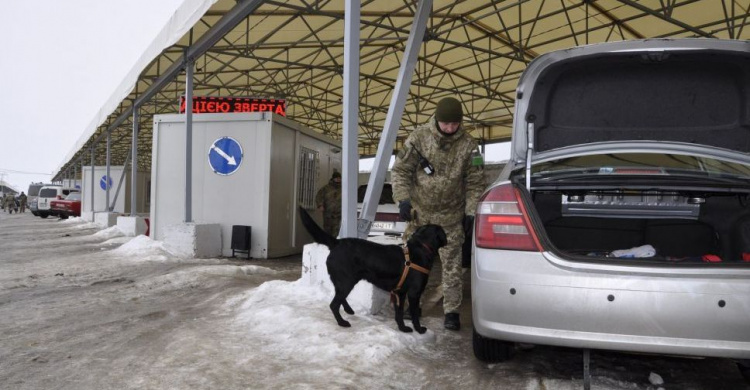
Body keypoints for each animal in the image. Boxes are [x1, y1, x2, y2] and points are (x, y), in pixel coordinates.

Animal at [300, 207, 450, 332]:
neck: (421, 247)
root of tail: (337, 242)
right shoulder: (414, 293)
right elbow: (414, 315)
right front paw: (419, 329)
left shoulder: (400, 293)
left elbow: (399, 313)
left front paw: (402, 328)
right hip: (347, 281)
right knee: (334, 304)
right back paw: (342, 322)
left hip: (344, 281)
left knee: (339, 298)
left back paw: (349, 310)